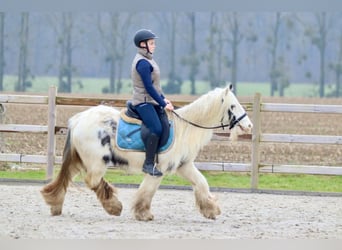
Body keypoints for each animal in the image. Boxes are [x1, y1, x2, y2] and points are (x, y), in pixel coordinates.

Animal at [41, 84, 252, 221]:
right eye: (233, 106)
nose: (249, 125)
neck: (184, 128)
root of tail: (78, 119)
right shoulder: (159, 169)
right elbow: (147, 191)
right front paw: (143, 213)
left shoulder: (184, 166)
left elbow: (201, 183)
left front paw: (211, 209)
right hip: (97, 162)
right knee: (92, 181)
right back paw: (114, 207)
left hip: (80, 160)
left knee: (66, 179)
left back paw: (55, 204)